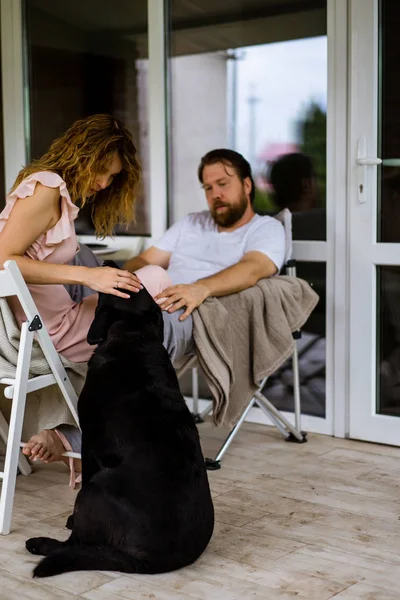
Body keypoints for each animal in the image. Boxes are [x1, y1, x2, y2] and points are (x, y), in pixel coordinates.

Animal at [25, 262, 212, 576]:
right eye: (139, 282)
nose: (110, 264)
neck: (134, 335)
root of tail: (147, 562)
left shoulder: (89, 442)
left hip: (95, 488)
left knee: (74, 543)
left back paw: (41, 543)